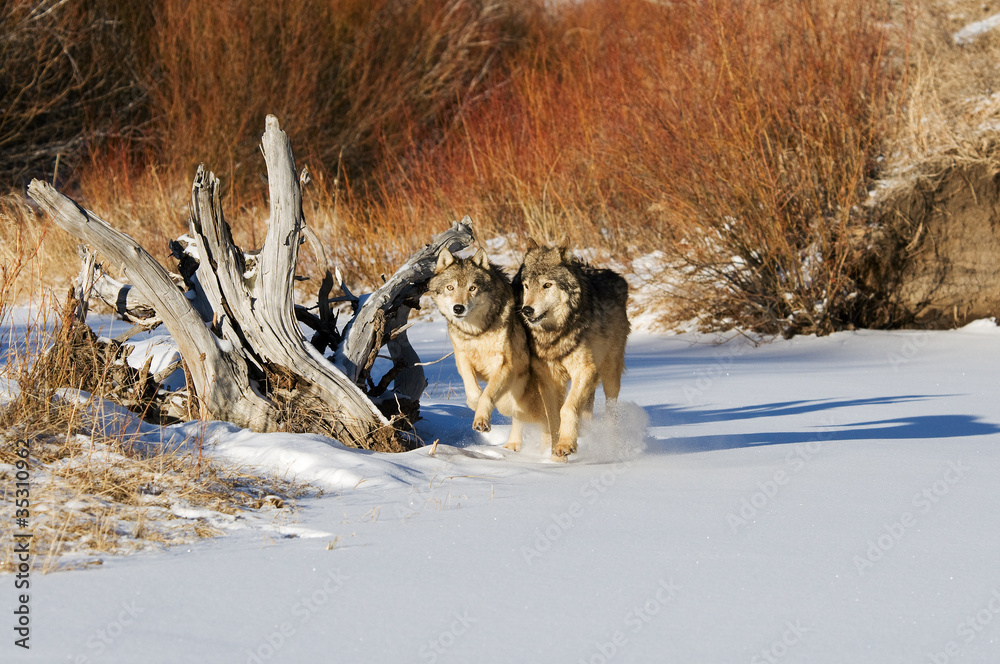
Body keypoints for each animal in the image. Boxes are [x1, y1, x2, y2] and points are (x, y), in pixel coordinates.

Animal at [427, 247, 550, 451]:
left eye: (472, 288)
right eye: (450, 288)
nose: (458, 308)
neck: (478, 332)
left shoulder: (504, 364)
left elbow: (488, 395)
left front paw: (481, 420)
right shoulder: (462, 358)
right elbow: (473, 390)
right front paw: (473, 404)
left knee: (538, 417)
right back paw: (513, 445)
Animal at [516, 239, 630, 461]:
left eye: (547, 285)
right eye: (526, 286)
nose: (526, 310)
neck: (554, 335)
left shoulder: (584, 370)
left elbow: (567, 409)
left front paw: (566, 444)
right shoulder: (548, 381)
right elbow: (553, 420)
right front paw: (555, 456)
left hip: (610, 373)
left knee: (611, 408)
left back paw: (611, 440)